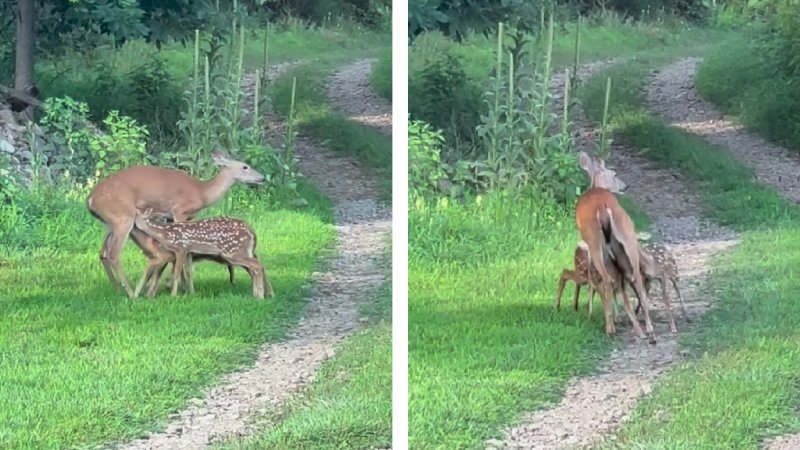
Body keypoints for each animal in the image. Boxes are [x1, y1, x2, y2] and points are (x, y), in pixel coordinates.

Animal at [86, 152, 264, 298]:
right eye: (245, 166)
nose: (262, 178)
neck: (202, 192)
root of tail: (90, 199)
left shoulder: (179, 217)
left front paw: (173, 286)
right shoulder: (180, 211)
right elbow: (185, 254)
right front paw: (179, 288)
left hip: (109, 223)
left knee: (102, 252)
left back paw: (117, 289)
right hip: (123, 218)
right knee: (113, 254)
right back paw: (131, 293)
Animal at [576, 151, 656, 344]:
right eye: (615, 174)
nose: (625, 186)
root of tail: (603, 208)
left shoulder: (588, 247)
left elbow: (592, 280)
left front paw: (591, 312)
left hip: (595, 243)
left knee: (606, 280)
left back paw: (610, 327)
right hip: (627, 238)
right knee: (636, 278)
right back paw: (648, 329)